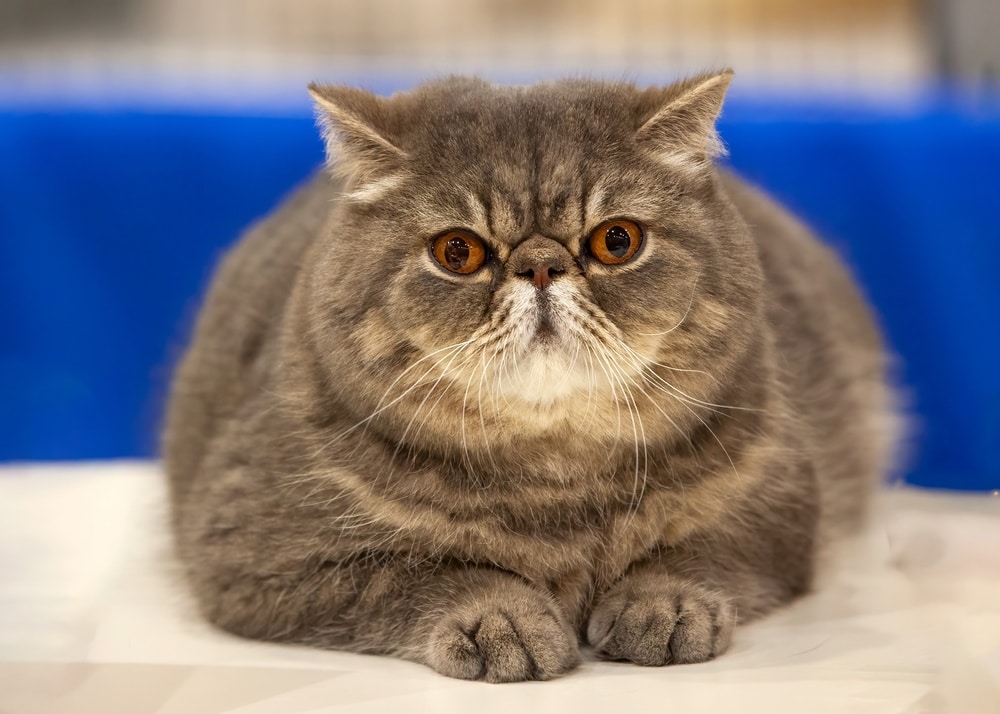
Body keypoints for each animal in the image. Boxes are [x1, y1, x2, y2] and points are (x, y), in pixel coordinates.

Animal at [164, 71, 900, 680]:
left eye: (617, 241)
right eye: (457, 251)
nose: (541, 264)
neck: (556, 485)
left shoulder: (781, 514)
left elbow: (696, 550)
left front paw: (661, 604)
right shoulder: (254, 554)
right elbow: (422, 571)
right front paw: (502, 619)